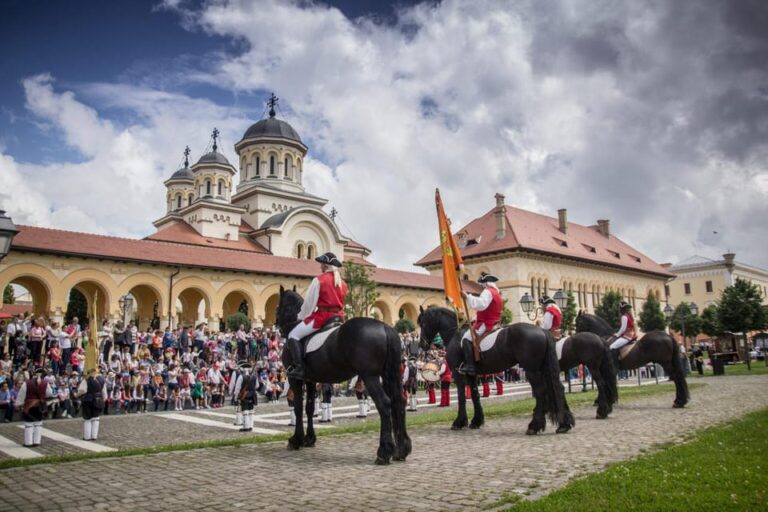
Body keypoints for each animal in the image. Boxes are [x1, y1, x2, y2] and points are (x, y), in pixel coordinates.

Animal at [274, 286, 408, 466]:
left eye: (278, 307)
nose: (278, 328)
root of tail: (384, 327)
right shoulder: (310, 380)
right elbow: (309, 408)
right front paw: (309, 439)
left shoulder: (295, 379)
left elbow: (297, 407)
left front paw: (296, 440)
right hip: (388, 375)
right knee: (398, 402)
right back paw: (401, 451)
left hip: (370, 377)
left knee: (384, 404)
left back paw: (383, 452)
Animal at [416, 306, 572, 434]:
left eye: (423, 323)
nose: (422, 344)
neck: (455, 334)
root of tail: (542, 330)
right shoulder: (472, 375)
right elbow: (475, 395)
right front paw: (476, 421)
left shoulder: (457, 373)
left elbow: (461, 397)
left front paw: (459, 422)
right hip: (544, 369)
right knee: (558, 388)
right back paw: (564, 424)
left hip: (532, 371)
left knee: (540, 392)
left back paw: (534, 426)